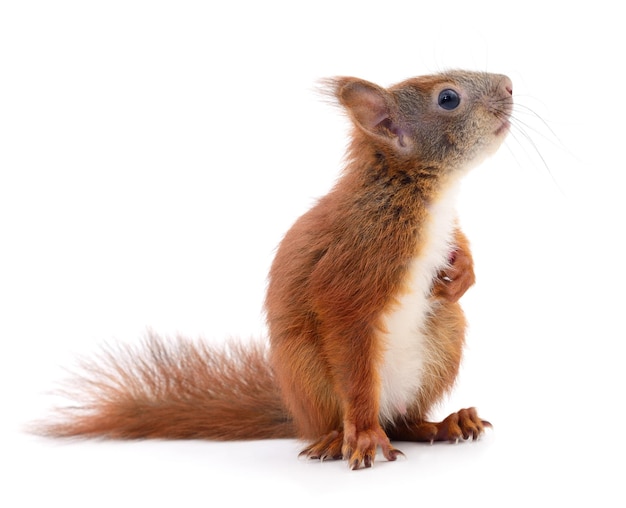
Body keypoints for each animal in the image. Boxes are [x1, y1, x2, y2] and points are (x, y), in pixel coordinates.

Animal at [35, 69, 512, 470]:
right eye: (447, 98)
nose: (509, 85)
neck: (422, 194)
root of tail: (301, 418)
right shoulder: (356, 259)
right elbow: (344, 325)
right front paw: (362, 438)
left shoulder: (444, 231)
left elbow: (461, 246)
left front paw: (464, 274)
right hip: (309, 371)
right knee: (357, 417)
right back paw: (341, 438)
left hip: (444, 334)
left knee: (407, 423)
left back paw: (445, 424)